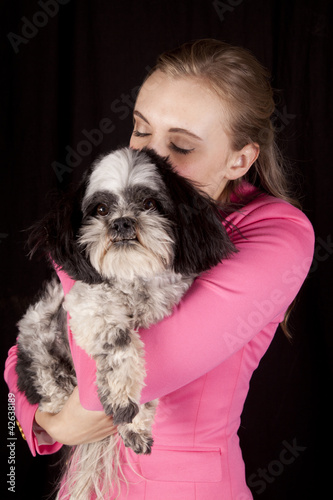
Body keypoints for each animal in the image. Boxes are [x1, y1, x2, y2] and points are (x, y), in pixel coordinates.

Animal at [14, 146, 235, 498]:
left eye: (149, 204)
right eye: (101, 209)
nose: (120, 222)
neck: (132, 277)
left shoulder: (160, 316)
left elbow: (149, 381)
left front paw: (136, 422)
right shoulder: (86, 305)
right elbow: (121, 342)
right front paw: (120, 397)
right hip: (38, 342)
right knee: (50, 389)